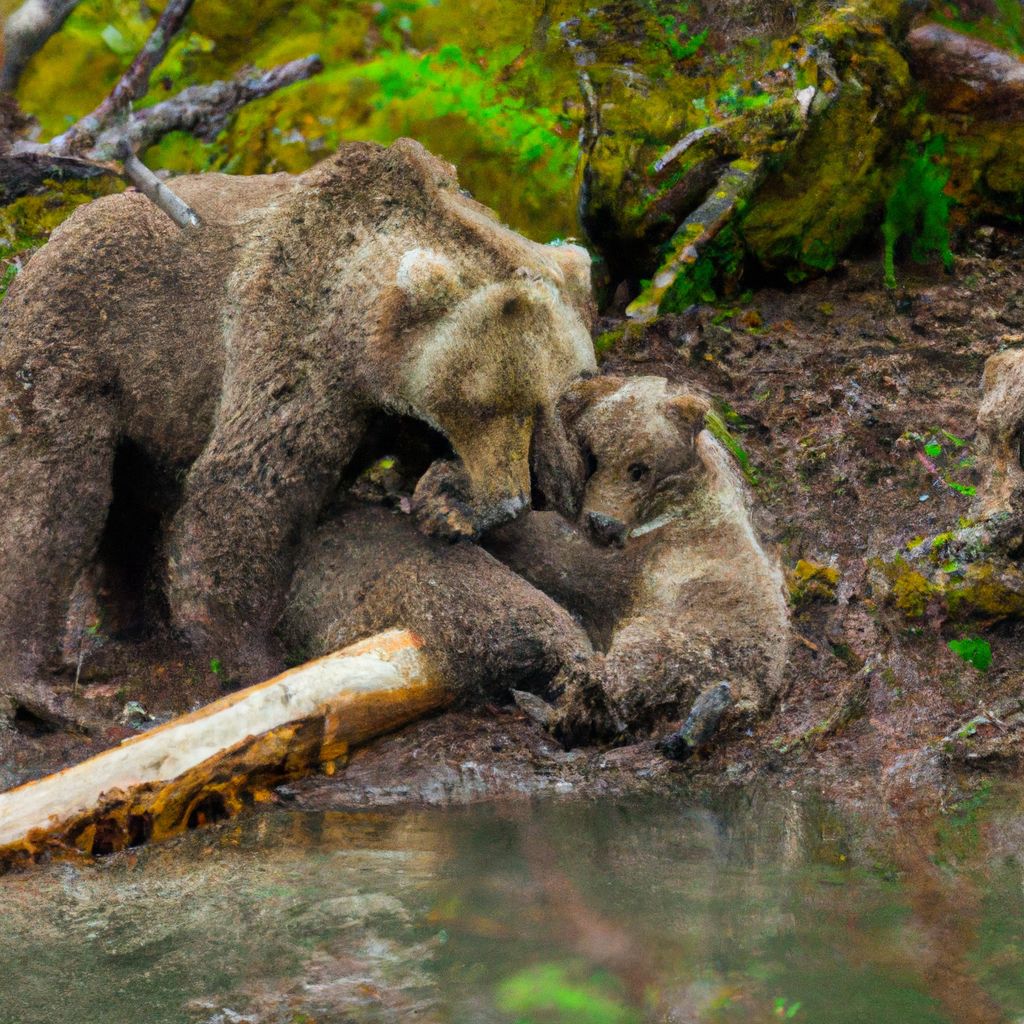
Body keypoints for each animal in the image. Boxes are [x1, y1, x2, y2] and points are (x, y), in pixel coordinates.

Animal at [0, 138, 598, 704]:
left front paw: (449, 502)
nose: (508, 499)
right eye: (481, 405)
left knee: (126, 507)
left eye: (540, 402)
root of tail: (55, 232)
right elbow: (249, 484)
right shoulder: (292, 332)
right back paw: (33, 673)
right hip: (79, 343)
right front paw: (248, 652)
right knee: (54, 499)